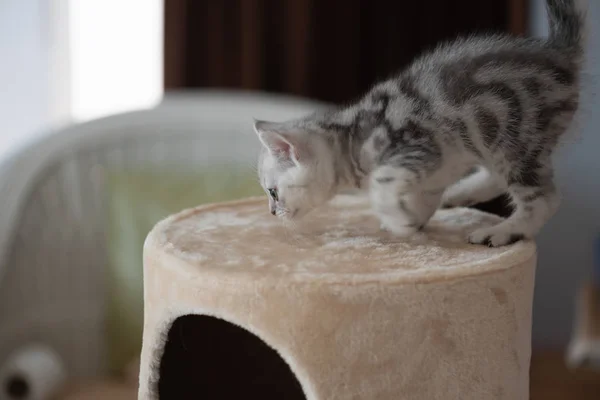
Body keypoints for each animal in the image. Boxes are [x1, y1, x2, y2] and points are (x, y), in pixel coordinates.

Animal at [255, 0, 588, 247]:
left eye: (273, 192)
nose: (271, 213)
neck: (351, 138)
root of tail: (559, 53)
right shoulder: (434, 171)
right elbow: (423, 199)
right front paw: (410, 219)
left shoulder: (416, 146)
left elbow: (382, 183)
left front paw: (398, 221)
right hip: (491, 142)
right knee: (496, 179)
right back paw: (459, 195)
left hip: (512, 137)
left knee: (544, 199)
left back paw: (504, 230)